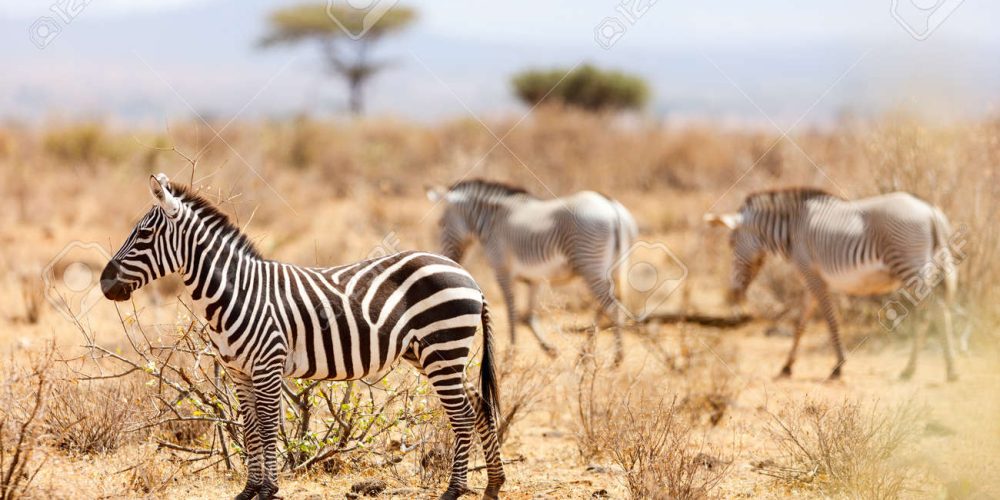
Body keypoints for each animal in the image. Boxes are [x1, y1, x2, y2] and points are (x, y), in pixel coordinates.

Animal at [99, 175, 508, 500]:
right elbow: (250, 428)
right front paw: (249, 490)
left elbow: (267, 426)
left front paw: (268, 490)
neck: (237, 291)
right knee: (480, 407)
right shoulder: (239, 372)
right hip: (432, 354)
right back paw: (493, 485)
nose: (104, 284)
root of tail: (469, 276)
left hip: (442, 349)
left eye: (144, 234)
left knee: (463, 415)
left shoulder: (267, 363)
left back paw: (454, 490)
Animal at [426, 178, 636, 366]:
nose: (445, 258)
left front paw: (510, 356)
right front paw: (550, 350)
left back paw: (617, 358)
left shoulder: (502, 270)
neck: (493, 221)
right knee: (606, 305)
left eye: (440, 224)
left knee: (612, 307)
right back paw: (584, 355)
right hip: (611, 268)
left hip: (590, 265)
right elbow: (528, 316)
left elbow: (511, 312)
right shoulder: (534, 279)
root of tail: (611, 206)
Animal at [708, 189, 956, 380]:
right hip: (926, 268)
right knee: (929, 312)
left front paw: (838, 366)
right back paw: (910, 370)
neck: (792, 230)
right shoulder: (810, 279)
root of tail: (930, 210)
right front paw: (787, 366)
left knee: (937, 309)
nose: (734, 292)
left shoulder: (814, 276)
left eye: (731, 243)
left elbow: (830, 319)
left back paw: (949, 370)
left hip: (909, 264)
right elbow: (801, 323)